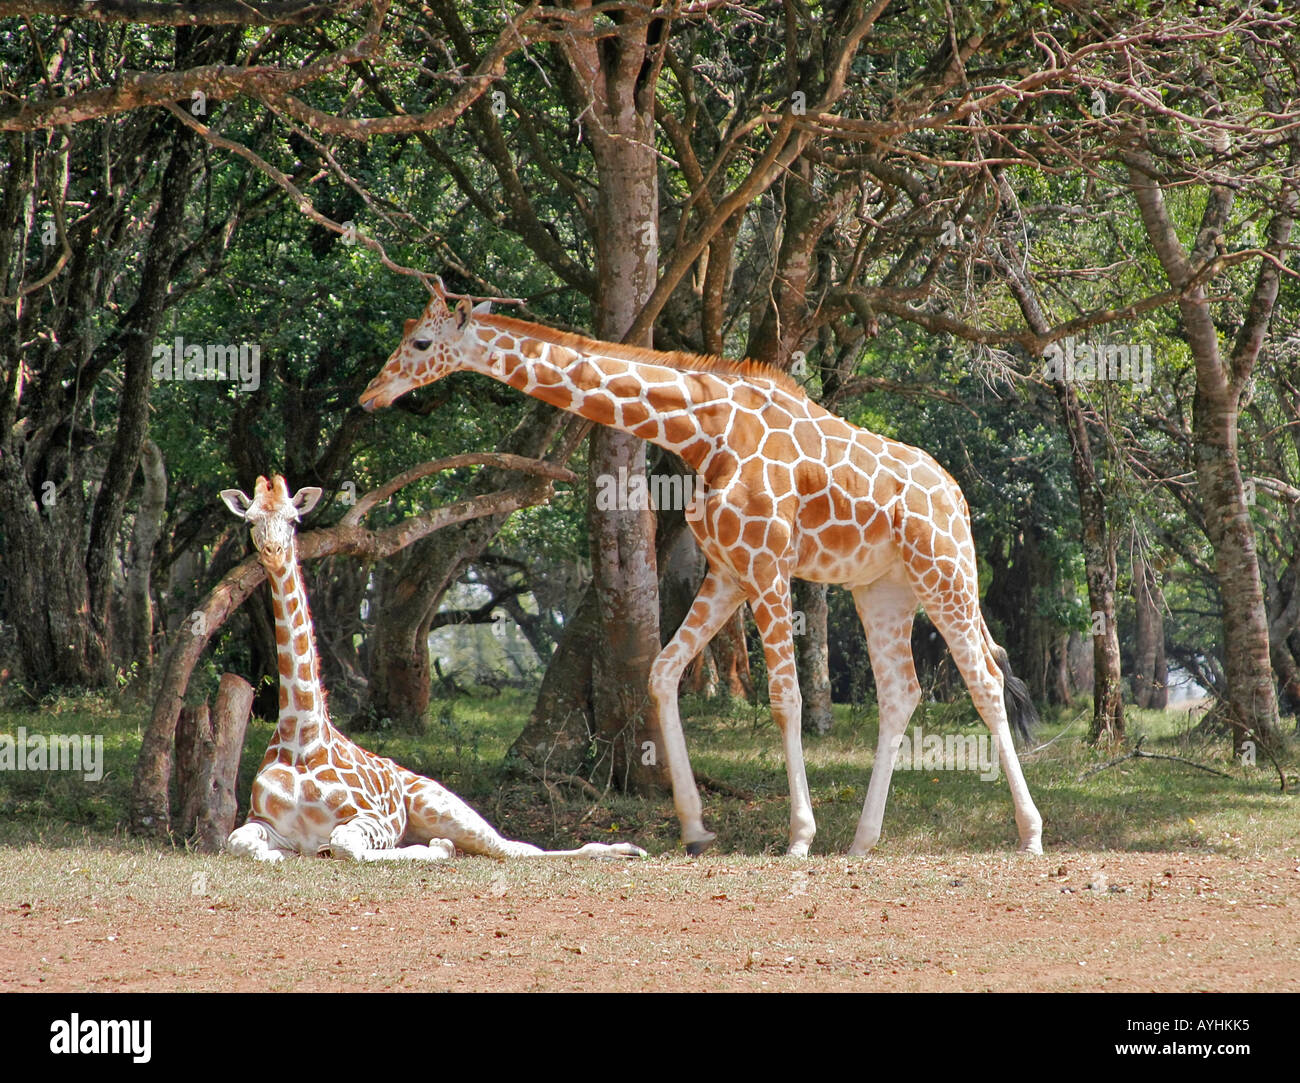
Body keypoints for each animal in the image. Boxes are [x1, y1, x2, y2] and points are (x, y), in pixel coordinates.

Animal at [219, 474, 646, 863]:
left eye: (294, 520)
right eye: (250, 521)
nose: (273, 550)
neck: (301, 736)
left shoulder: (372, 819)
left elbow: (345, 846)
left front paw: (437, 850)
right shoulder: (263, 822)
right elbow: (238, 843)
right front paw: (280, 855)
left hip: (437, 804)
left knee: (513, 849)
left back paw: (627, 849)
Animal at [359, 281, 1044, 858]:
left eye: (420, 343)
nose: (370, 395)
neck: (702, 432)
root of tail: (957, 495)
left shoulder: (768, 565)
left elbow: (786, 698)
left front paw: (799, 836)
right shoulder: (729, 571)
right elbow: (662, 672)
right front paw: (694, 827)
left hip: (945, 571)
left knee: (985, 682)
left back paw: (1029, 833)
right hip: (884, 589)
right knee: (901, 692)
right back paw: (861, 842)